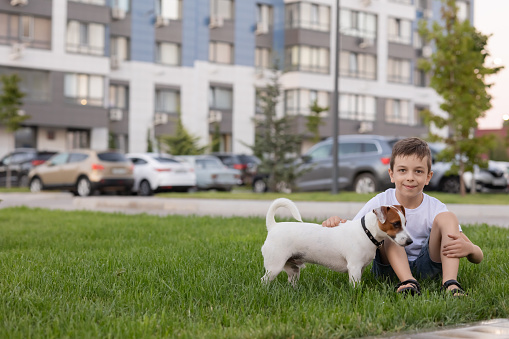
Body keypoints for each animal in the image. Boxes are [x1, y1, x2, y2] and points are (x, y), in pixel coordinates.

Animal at [260, 198, 410, 288]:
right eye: (395, 224)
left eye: (405, 223)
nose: (410, 241)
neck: (366, 232)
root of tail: (273, 226)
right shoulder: (354, 267)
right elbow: (355, 286)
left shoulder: (360, 269)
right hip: (274, 267)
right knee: (264, 280)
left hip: (293, 269)